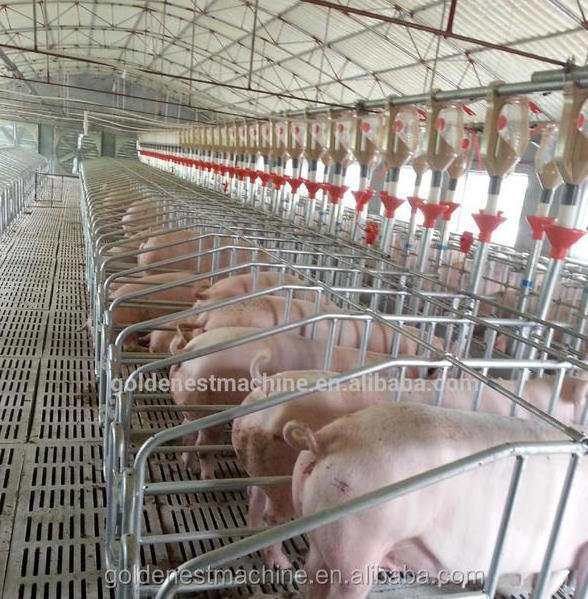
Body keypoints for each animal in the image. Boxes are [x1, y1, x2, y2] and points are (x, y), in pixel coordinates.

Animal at [168, 326, 424, 480]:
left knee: (187, 434)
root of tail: (186, 350)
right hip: (207, 410)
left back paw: (188, 466)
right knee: (202, 445)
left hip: (191, 407)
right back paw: (206, 475)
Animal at [232, 368, 584, 568]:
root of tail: (264, 391)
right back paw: (282, 564)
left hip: (263, 468)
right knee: (272, 519)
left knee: (255, 498)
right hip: (281, 482)